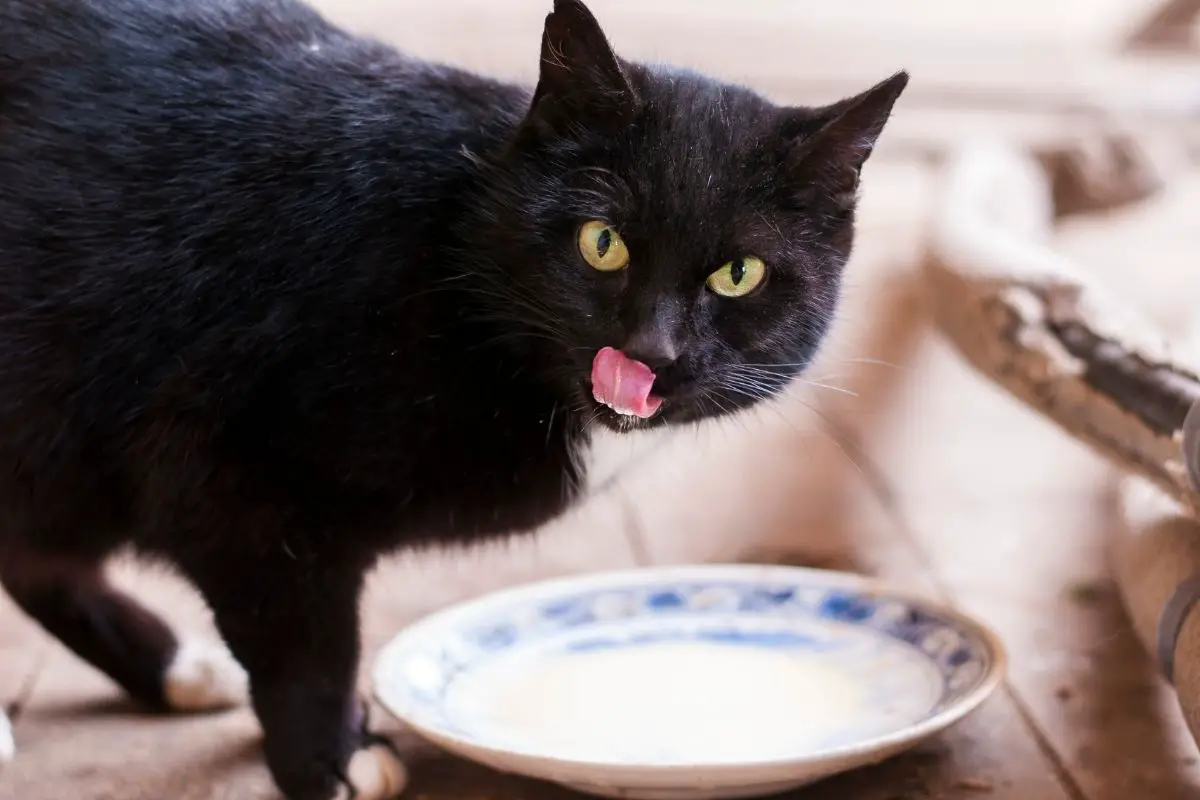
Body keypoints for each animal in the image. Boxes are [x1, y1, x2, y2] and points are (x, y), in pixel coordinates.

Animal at [0, 0, 902, 796]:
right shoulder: (228, 473)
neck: (448, 246)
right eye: (602, 242)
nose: (649, 351)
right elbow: (304, 644)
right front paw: (330, 762)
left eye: (738, 274)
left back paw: (174, 668)